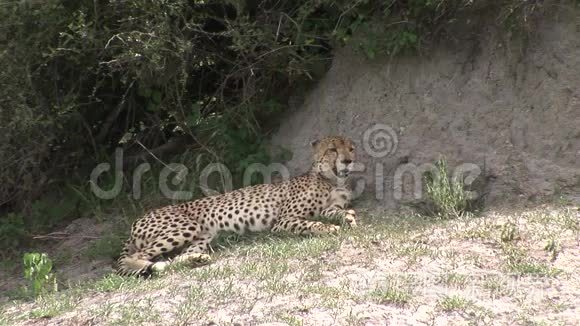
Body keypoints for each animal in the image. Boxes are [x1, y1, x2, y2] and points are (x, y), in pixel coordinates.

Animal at [115, 135, 356, 276]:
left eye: (351, 148)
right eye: (333, 149)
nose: (348, 160)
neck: (332, 179)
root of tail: (137, 220)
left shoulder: (329, 207)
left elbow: (339, 211)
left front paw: (349, 217)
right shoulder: (283, 220)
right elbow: (312, 224)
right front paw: (330, 228)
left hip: (203, 236)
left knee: (174, 257)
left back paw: (195, 259)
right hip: (185, 227)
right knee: (133, 258)